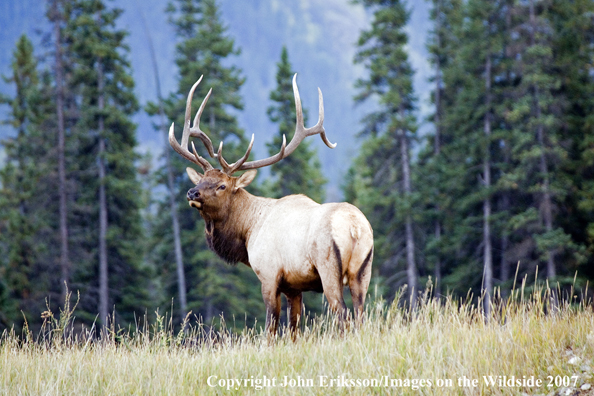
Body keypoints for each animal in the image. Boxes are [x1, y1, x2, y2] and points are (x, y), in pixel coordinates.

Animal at [168, 73, 370, 334]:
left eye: (222, 186)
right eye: (202, 179)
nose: (192, 193)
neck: (248, 231)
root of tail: (355, 227)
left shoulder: (268, 274)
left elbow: (271, 327)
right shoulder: (293, 287)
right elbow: (293, 329)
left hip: (328, 269)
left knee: (343, 315)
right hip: (362, 272)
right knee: (361, 315)